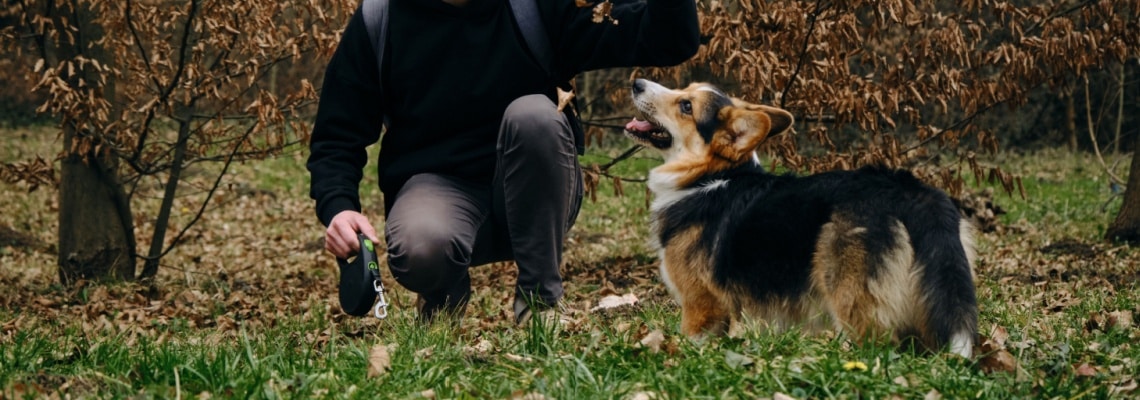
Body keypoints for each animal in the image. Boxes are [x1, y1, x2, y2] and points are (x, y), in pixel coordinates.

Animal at [624, 78, 980, 357]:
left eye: (685, 106)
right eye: (685, 89)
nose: (636, 82)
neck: (706, 177)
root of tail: (911, 192)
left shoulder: (700, 305)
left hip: (851, 298)